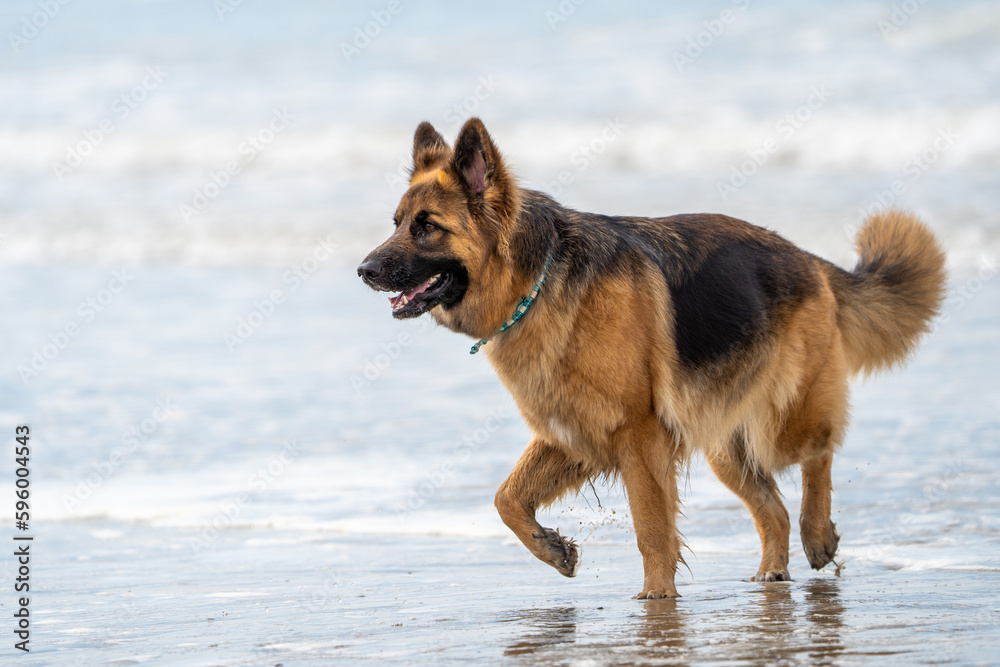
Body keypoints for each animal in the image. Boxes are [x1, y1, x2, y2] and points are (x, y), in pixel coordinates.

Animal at [360, 117, 944, 596]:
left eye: (426, 226)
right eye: (396, 222)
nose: (364, 270)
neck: (540, 282)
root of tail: (808, 259)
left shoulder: (637, 436)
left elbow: (651, 528)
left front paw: (657, 598)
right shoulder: (573, 432)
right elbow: (506, 499)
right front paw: (555, 550)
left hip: (781, 423)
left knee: (817, 453)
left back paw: (817, 535)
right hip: (725, 446)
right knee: (772, 508)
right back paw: (771, 574)